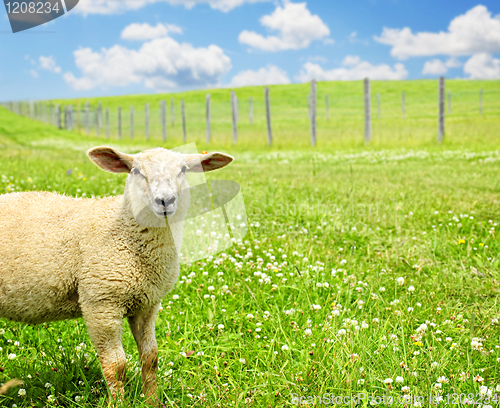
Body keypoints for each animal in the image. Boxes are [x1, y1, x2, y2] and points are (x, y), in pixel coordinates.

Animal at [0, 145, 234, 404]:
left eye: (183, 169)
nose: (165, 200)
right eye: (136, 171)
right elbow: (116, 365)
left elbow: (151, 358)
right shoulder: (101, 303)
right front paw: (118, 402)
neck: (124, 230)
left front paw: (152, 401)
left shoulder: (147, 304)